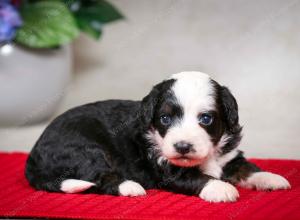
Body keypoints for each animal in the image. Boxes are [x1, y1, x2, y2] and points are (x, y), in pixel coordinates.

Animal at [26, 71, 290, 202]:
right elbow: (197, 177)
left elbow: (247, 167)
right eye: (165, 119)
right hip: (84, 150)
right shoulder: (168, 169)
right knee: (99, 178)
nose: (183, 146)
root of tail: (33, 155)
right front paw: (220, 188)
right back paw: (130, 186)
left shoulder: (229, 156)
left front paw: (271, 178)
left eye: (206, 119)